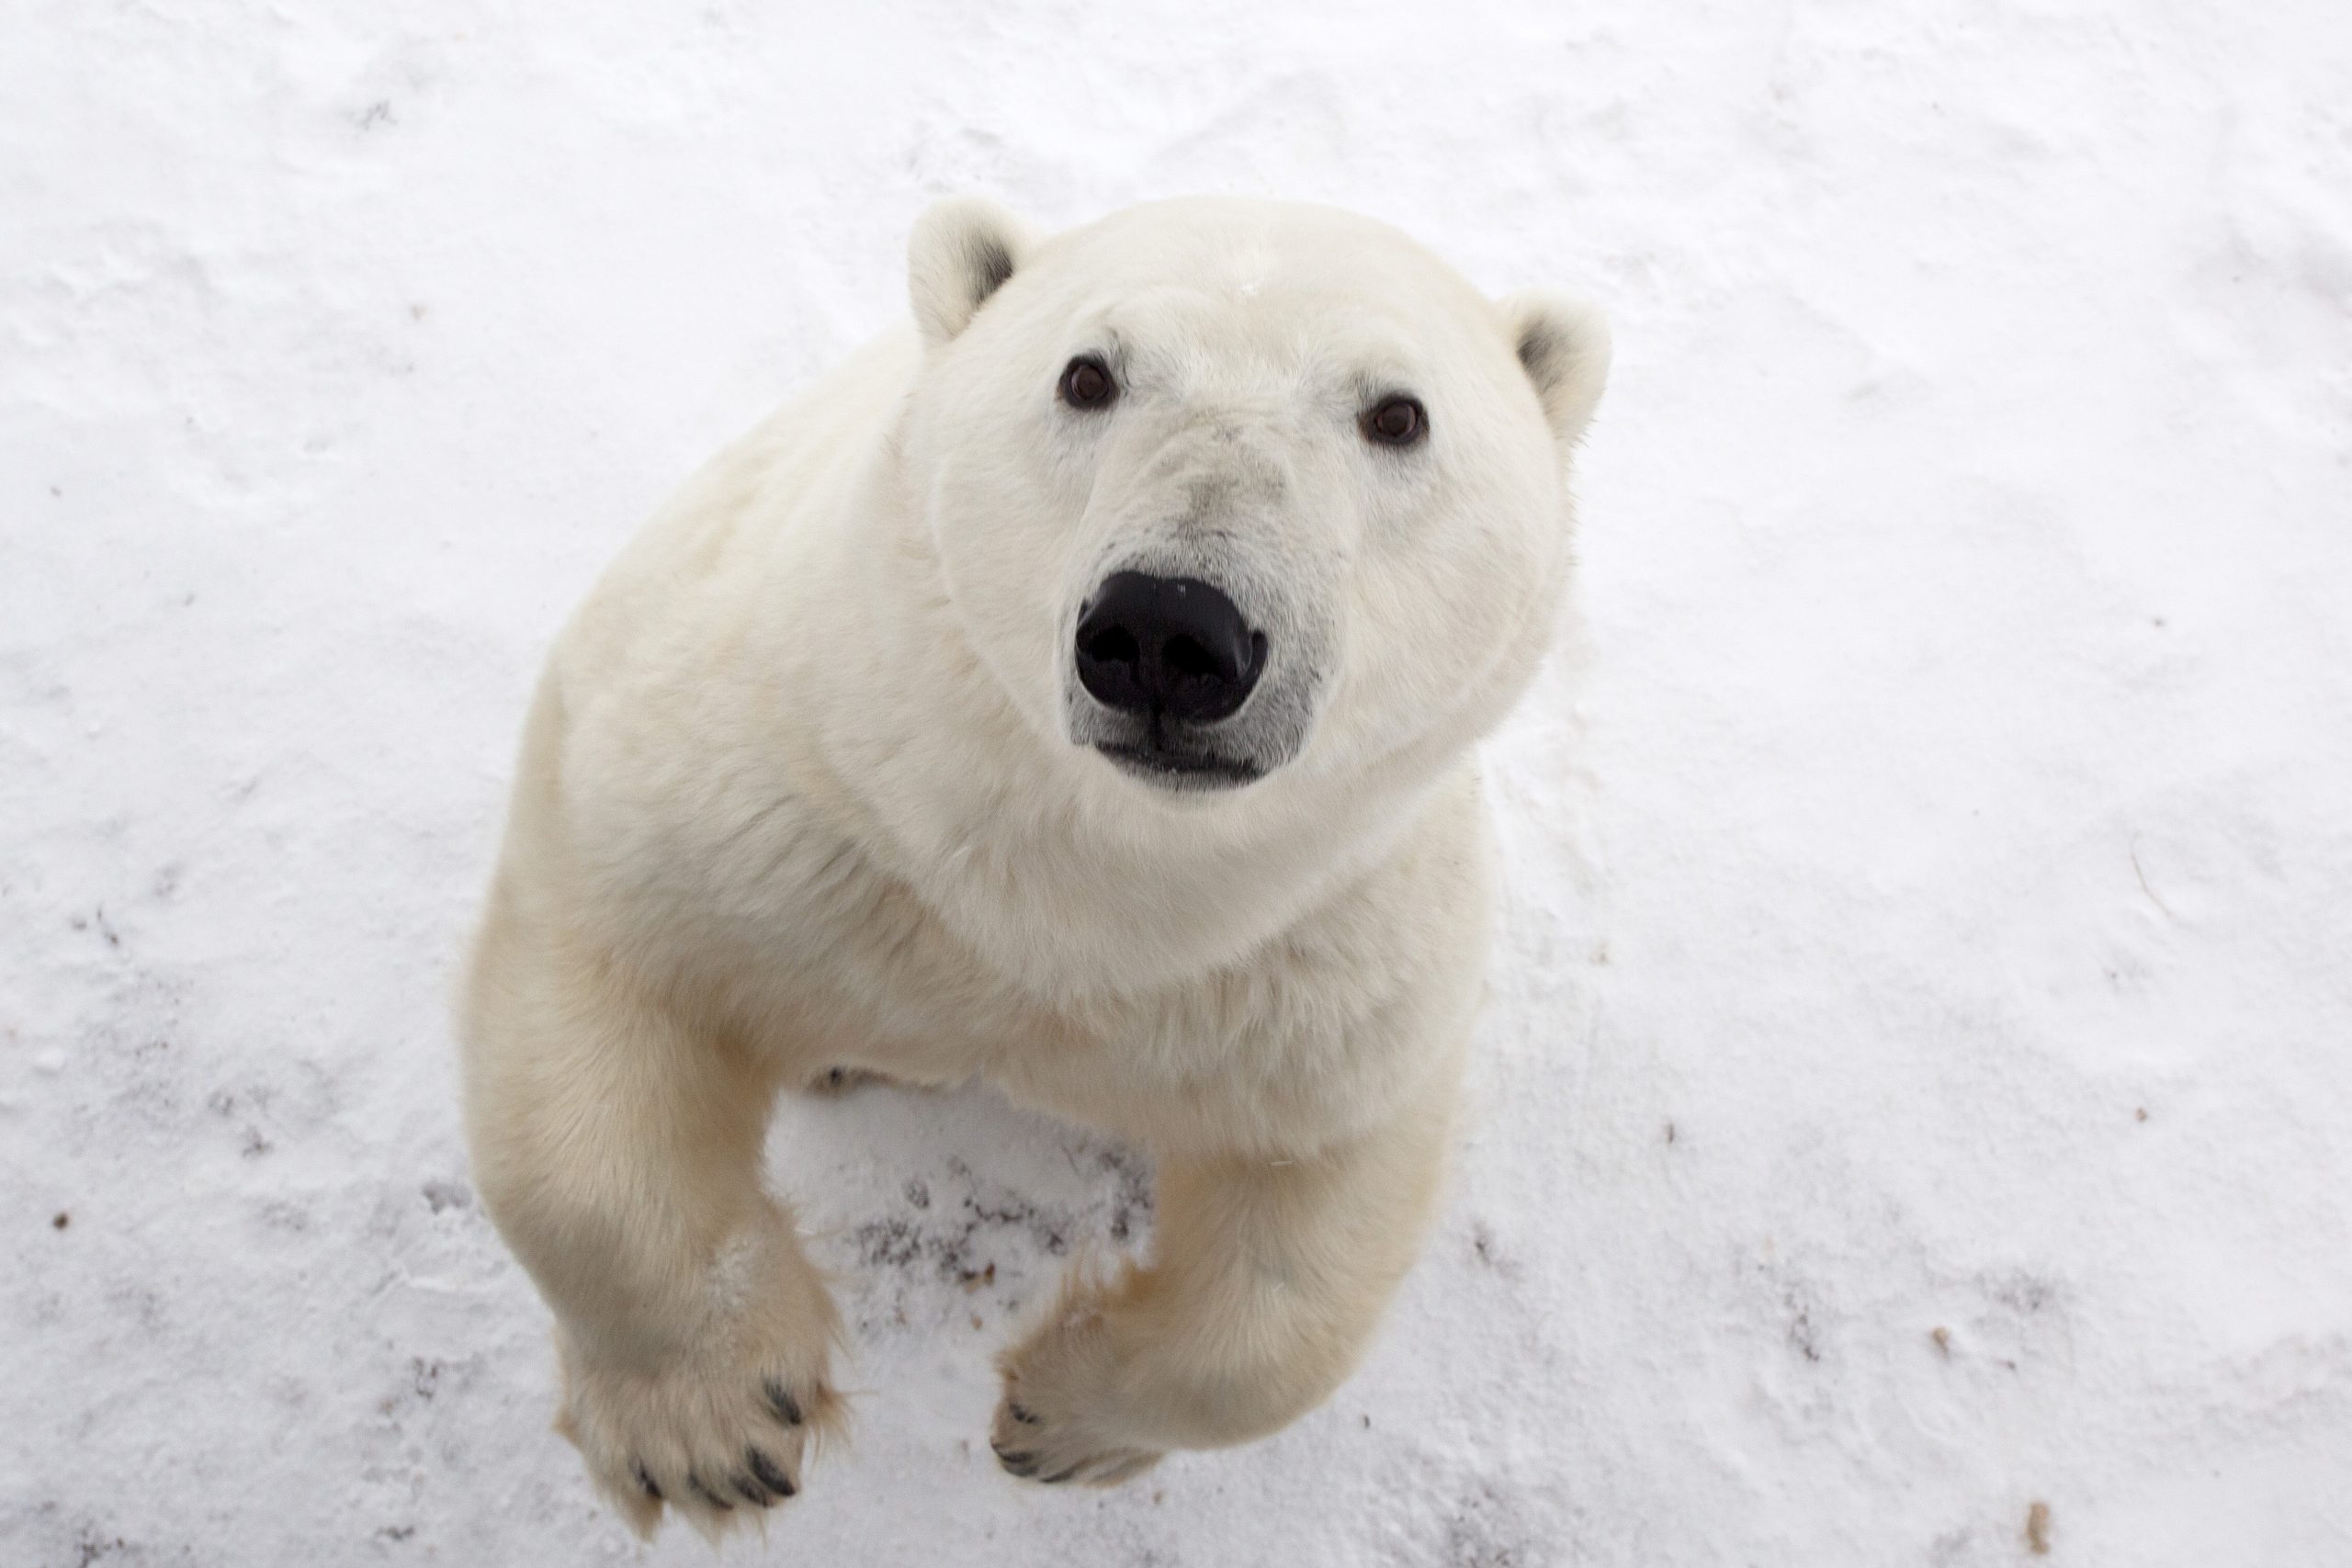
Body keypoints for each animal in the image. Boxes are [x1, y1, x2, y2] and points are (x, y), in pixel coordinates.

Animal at [459, 194, 1609, 1537]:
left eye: (1398, 413)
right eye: (1087, 373)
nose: (1169, 628)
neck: (1068, 886)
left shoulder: (1310, 964)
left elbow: (1302, 1255)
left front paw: (1060, 1418)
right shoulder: (782, 785)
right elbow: (603, 996)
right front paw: (709, 1428)